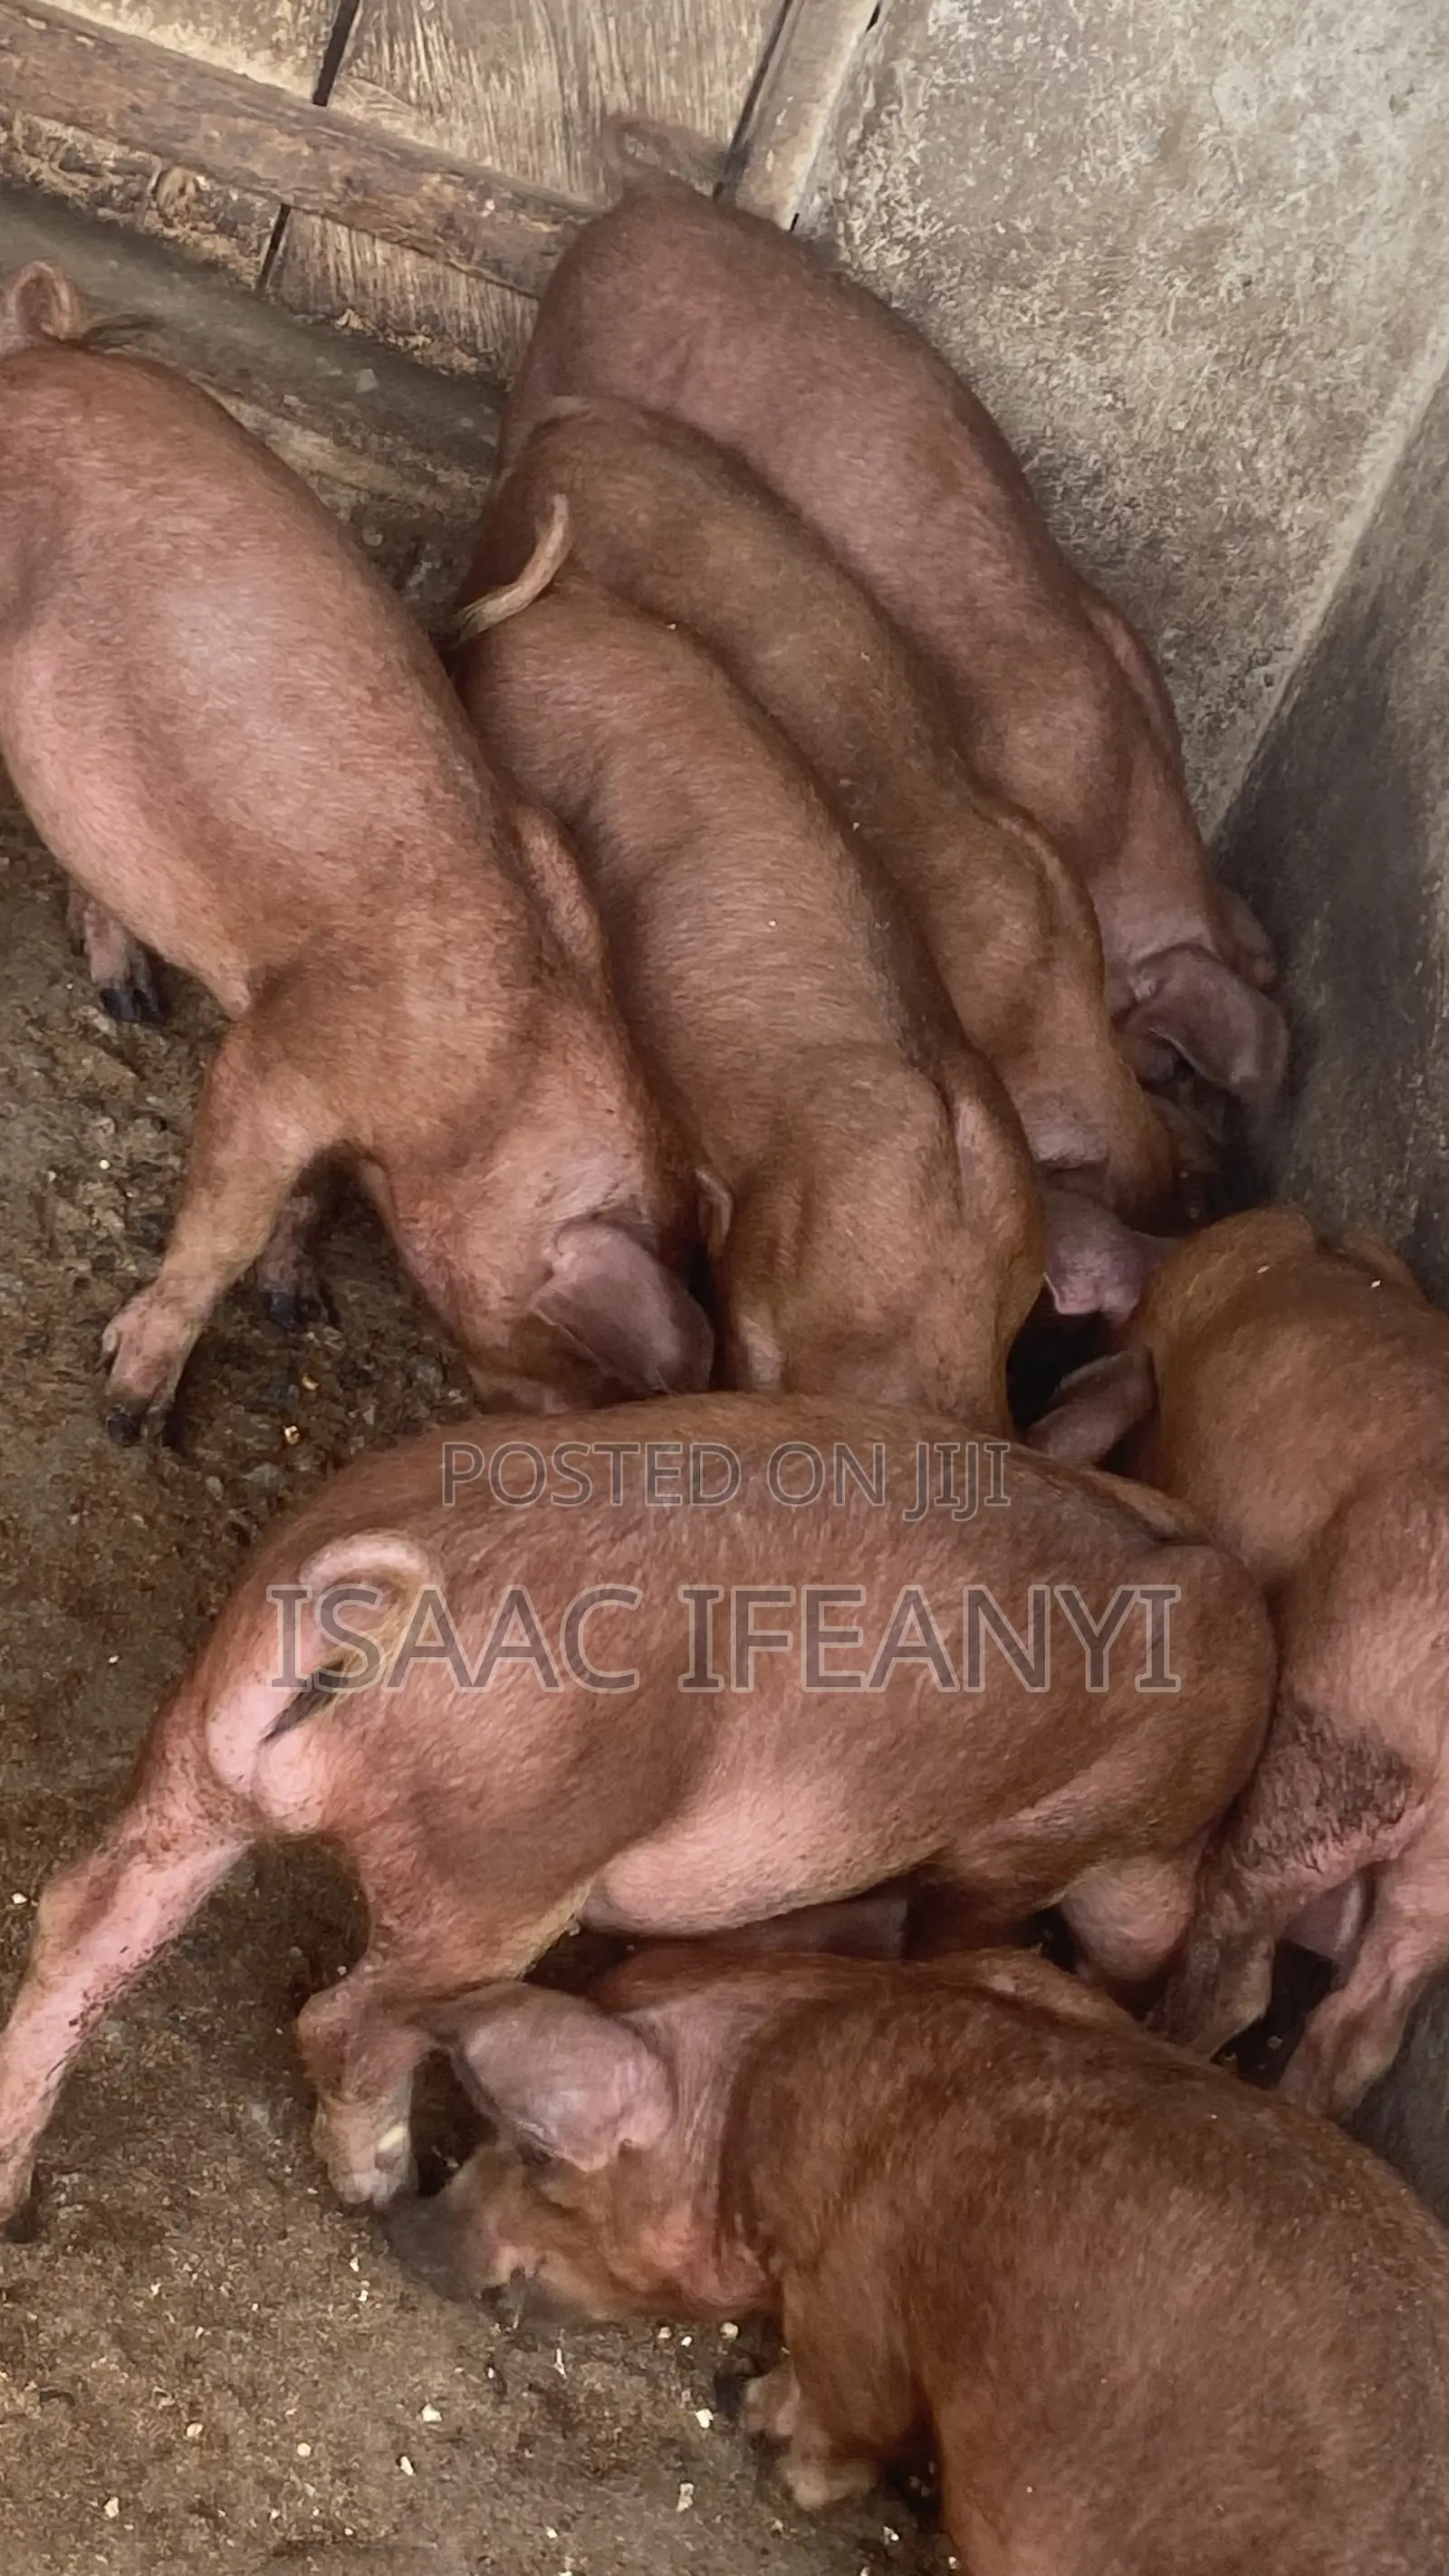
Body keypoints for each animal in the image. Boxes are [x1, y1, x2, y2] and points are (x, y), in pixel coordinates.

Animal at [0, 261, 708, 1430]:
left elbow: (308, 1203)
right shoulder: (280, 1060)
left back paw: (131, 1000)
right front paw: (131, 1412)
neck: (493, 1086)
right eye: (577, 1356)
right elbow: (225, 1222)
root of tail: (39, 348)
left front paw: (300, 1305)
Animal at [0, 1392, 1272, 2227]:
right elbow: (967, 1922)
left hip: (197, 1748)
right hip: (501, 1861)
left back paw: (16, 2195)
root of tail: (355, 1609)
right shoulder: (1019, 1845)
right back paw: (380, 2188)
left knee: (83, 1919)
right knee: (340, 2020)